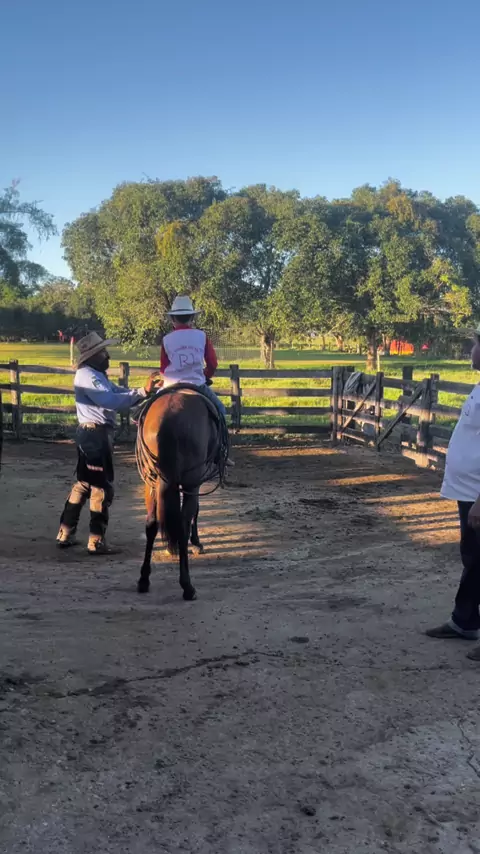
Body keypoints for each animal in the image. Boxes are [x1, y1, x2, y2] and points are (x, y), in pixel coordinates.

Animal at [135, 389, 222, 599]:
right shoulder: (196, 481)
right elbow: (196, 511)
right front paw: (197, 543)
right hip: (191, 481)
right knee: (183, 523)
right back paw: (187, 586)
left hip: (152, 482)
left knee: (152, 523)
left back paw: (144, 580)